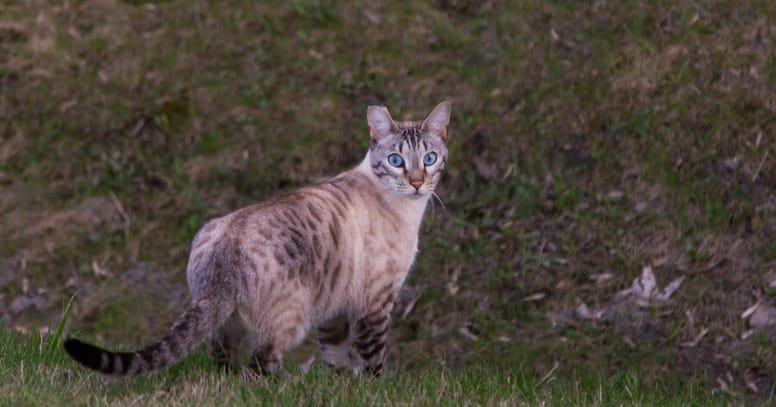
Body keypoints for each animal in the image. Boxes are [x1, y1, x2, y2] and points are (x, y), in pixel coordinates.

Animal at [63, 101, 452, 380]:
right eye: (396, 160)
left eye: (429, 158)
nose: (417, 182)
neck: (405, 209)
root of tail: (222, 258)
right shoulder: (374, 304)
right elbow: (374, 363)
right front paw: (367, 387)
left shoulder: (335, 308)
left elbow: (336, 358)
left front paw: (340, 385)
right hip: (292, 318)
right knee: (259, 367)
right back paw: (291, 386)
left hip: (228, 322)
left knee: (223, 364)